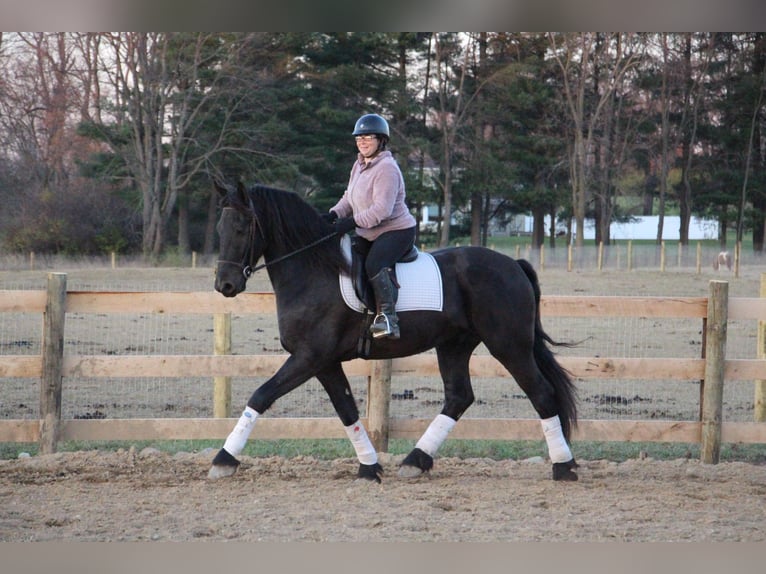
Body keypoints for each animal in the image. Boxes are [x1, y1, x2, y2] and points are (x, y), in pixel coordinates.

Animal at [207, 182, 580, 484]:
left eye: (241, 227)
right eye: (220, 228)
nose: (225, 285)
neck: (315, 271)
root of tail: (513, 264)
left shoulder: (309, 357)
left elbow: (261, 395)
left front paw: (223, 460)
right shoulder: (324, 362)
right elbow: (347, 410)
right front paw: (369, 467)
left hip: (509, 345)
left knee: (541, 394)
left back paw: (563, 467)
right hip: (454, 345)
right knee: (459, 396)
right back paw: (416, 461)